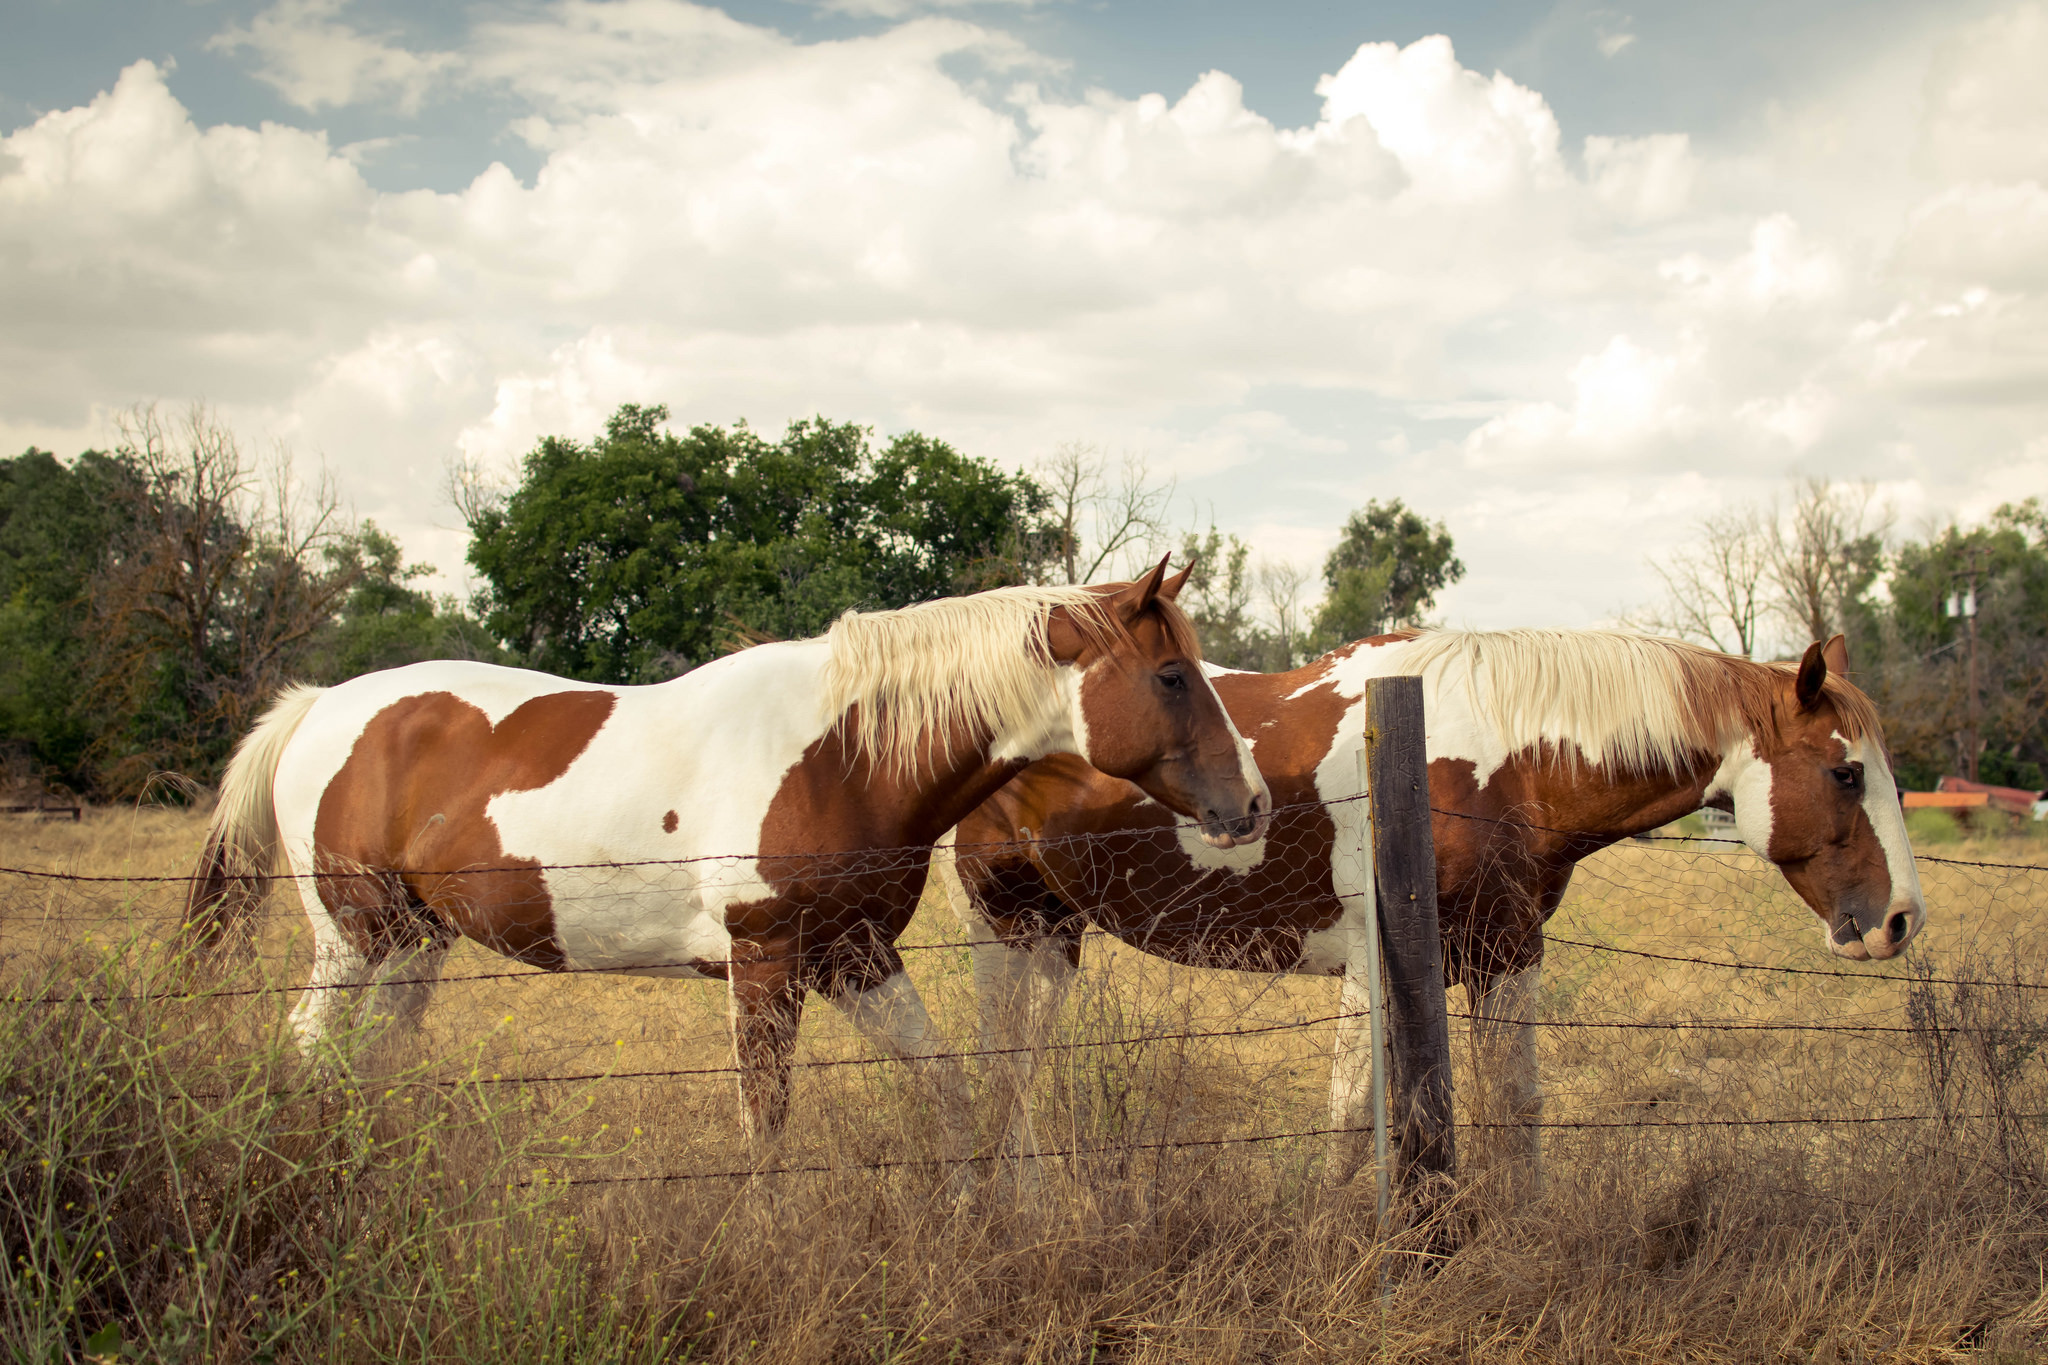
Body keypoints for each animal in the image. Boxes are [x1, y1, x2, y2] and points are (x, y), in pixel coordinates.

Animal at [184, 564, 1269, 1146]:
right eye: (1172, 675)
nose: (1250, 803)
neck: (840, 755)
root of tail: (317, 705)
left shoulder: (853, 956)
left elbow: (947, 1082)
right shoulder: (766, 963)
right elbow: (765, 1116)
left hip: (415, 943)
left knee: (365, 1057)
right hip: (353, 938)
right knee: (310, 1044)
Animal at [937, 626, 1925, 1178]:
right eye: (1845, 771)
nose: (1901, 920)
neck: (1497, 758)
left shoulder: (1503, 953)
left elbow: (1509, 1106)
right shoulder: (1375, 961)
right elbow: (1355, 1116)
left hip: (1056, 938)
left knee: (1015, 1083)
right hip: (1006, 932)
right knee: (1001, 1082)